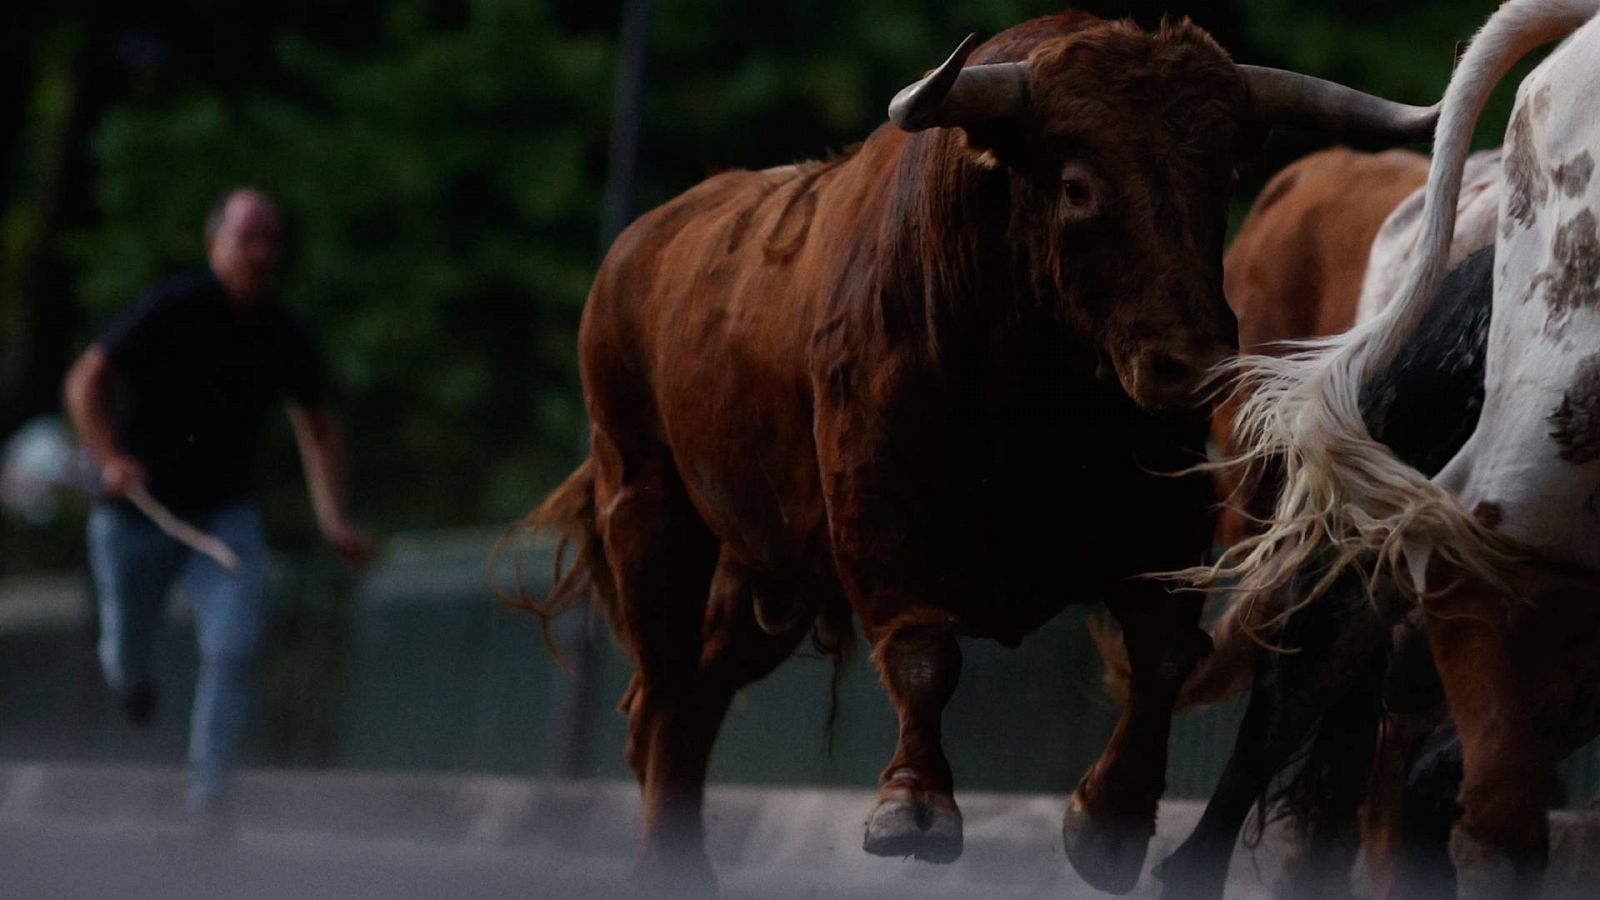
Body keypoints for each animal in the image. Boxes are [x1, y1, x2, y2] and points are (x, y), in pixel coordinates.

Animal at [515, 8, 1440, 890]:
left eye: (1219, 178)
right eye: (1077, 185)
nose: (1191, 362)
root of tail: (634, 256)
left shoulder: (1164, 518)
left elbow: (1167, 655)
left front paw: (1109, 821)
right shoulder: (877, 508)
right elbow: (924, 652)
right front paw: (915, 805)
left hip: (764, 573)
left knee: (695, 697)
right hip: (648, 511)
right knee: (665, 693)